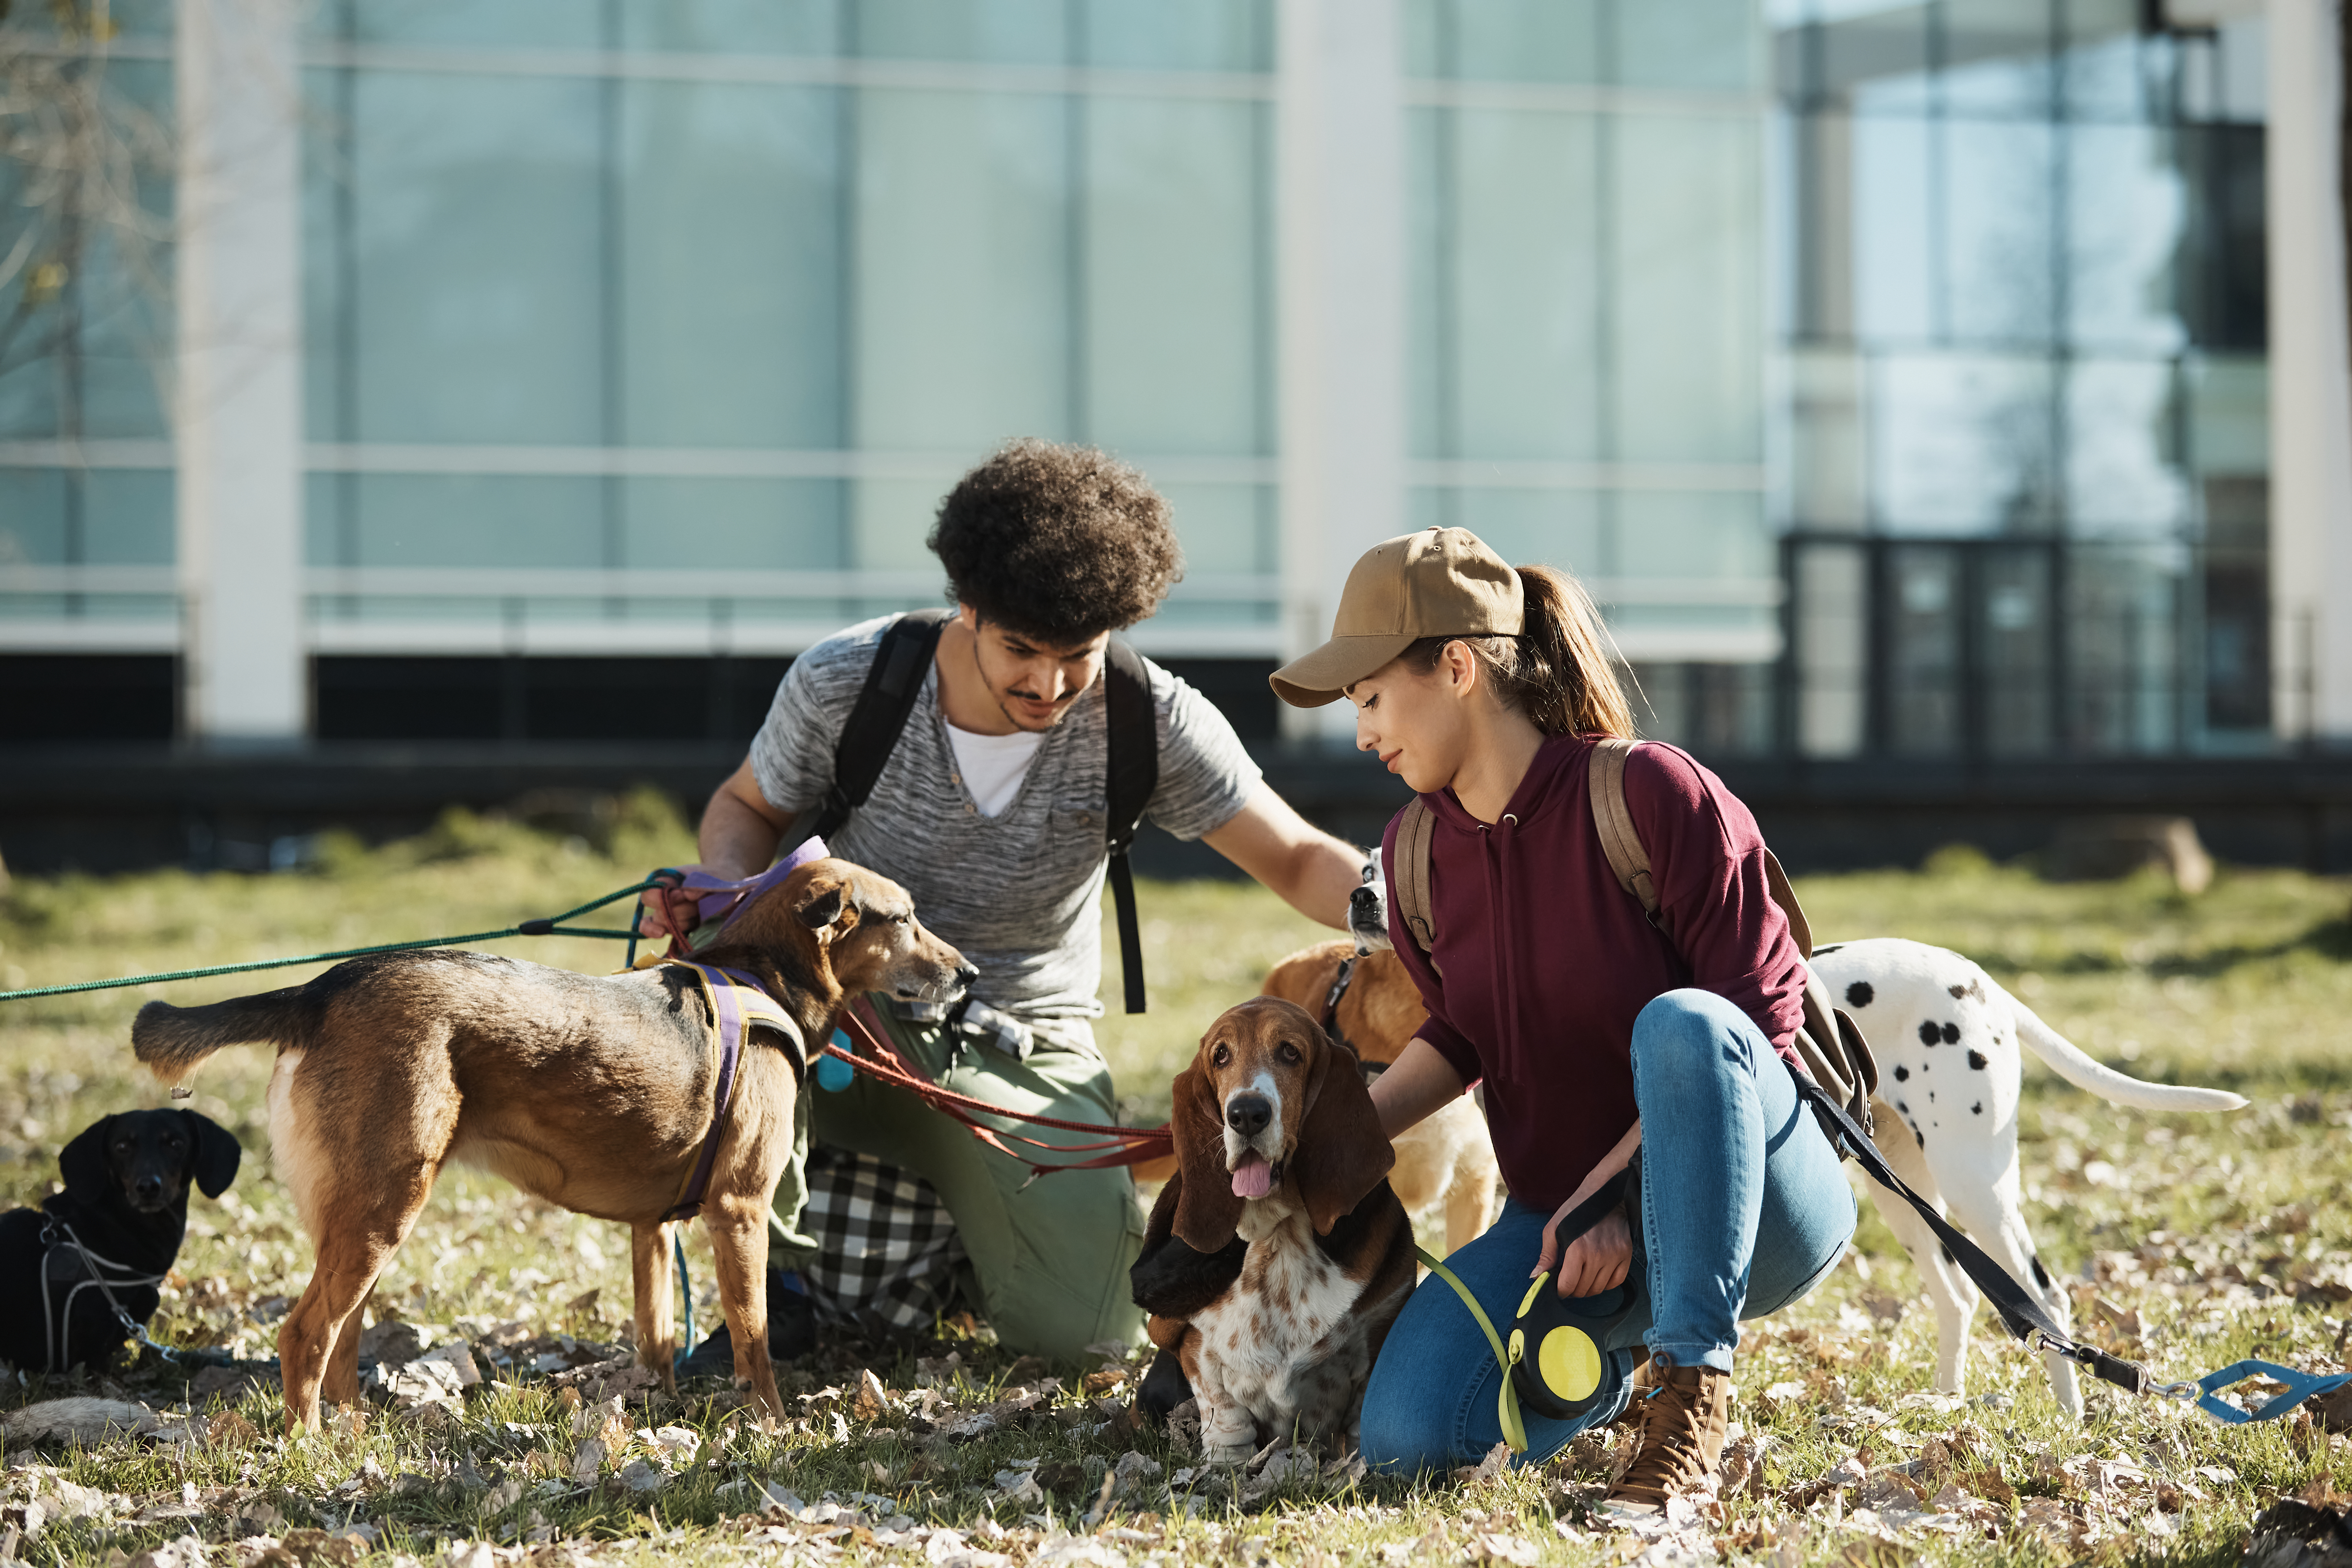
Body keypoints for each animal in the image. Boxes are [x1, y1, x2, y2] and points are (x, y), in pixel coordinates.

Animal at [126, 860, 974, 1439]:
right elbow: (754, 1340)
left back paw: (356, 1433)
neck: (762, 975)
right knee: (304, 1334)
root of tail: (319, 991)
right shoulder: (740, 1211)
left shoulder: (654, 1228)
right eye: (905, 919)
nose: (968, 975)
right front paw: (768, 1424)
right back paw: (311, 1447)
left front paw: (657, 1415)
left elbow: (657, 1335)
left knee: (342, 1338)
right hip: (383, 1208)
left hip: (363, 1216)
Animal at [1806, 940, 2249, 1420]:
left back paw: (2069, 1414)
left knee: (2045, 1301)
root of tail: (1985, 985)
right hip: (1906, 1196)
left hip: (1973, 1186)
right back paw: (1945, 1402)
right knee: (1959, 1298)